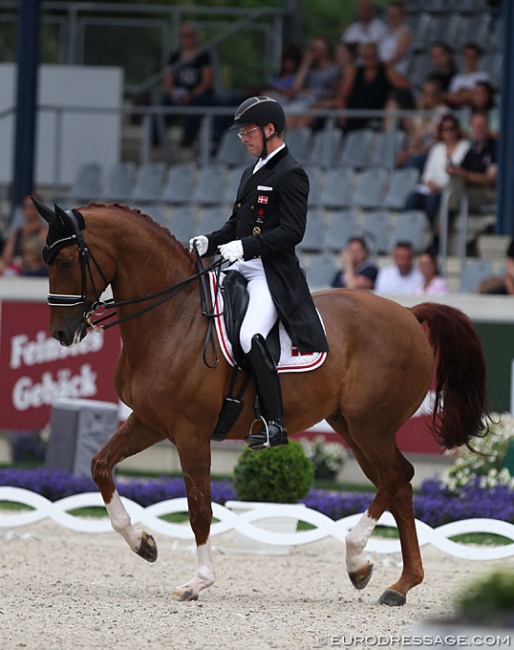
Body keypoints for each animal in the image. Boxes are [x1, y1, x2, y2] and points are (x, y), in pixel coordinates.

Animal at [34, 200, 486, 604]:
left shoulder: (191, 432)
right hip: (352, 427)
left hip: (370, 425)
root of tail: (409, 314)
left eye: (68, 262)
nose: (61, 334)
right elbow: (100, 466)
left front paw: (198, 582)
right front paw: (143, 543)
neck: (173, 319)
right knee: (398, 487)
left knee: (396, 478)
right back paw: (397, 584)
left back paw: (357, 558)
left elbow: (199, 506)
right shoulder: (149, 421)